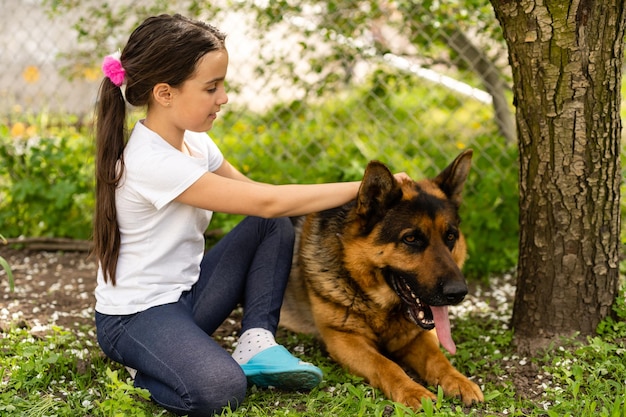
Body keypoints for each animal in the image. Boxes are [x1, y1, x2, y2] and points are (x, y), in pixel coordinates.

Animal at [282, 149, 482, 406]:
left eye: (450, 236)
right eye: (411, 239)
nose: (458, 293)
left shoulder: (417, 337)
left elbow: (438, 359)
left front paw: (458, 380)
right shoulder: (344, 339)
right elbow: (386, 364)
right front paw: (412, 391)